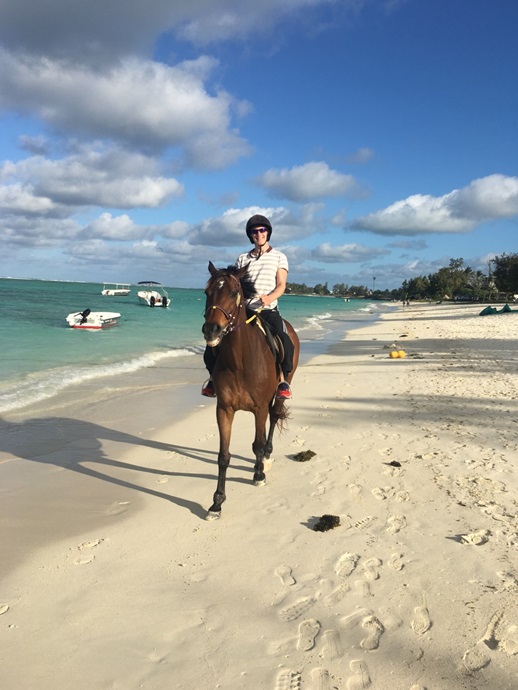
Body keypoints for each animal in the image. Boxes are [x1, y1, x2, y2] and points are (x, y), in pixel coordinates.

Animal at [203, 260, 300, 520]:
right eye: (206, 292)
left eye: (234, 293)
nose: (211, 330)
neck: (240, 361)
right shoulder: (224, 410)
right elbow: (223, 456)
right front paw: (217, 502)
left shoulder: (259, 408)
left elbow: (257, 443)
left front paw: (258, 475)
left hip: (281, 390)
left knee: (274, 418)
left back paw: (265, 457)